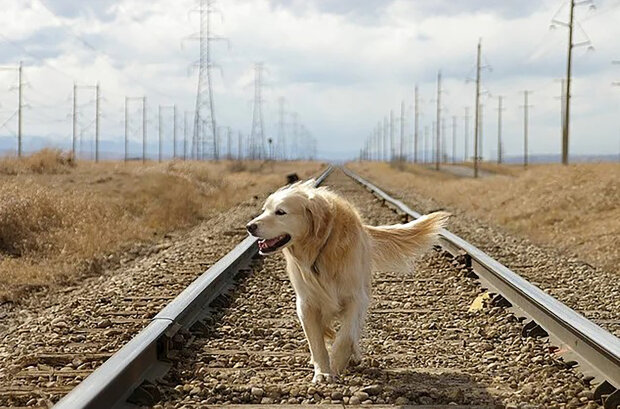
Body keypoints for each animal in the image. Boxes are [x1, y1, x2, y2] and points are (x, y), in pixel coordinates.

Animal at [245, 177, 448, 380]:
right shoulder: (307, 302)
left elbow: (347, 336)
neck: (321, 248)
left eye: (280, 212)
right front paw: (322, 372)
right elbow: (316, 342)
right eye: (264, 210)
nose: (249, 226)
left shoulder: (355, 298)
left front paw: (336, 362)